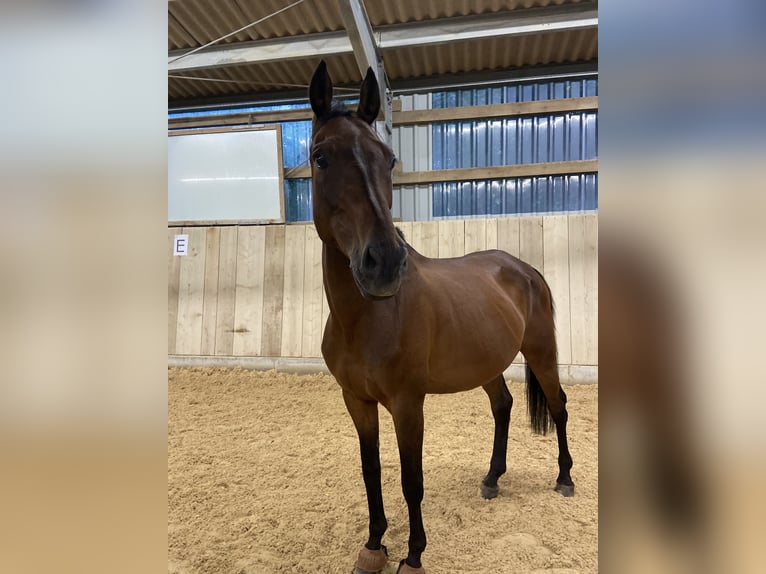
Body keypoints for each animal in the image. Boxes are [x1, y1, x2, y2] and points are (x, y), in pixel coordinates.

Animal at [308, 60, 574, 574]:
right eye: (320, 156)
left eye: (389, 159)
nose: (385, 263)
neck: (365, 319)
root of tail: (524, 269)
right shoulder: (357, 401)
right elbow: (371, 471)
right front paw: (374, 544)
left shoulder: (408, 404)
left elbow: (412, 481)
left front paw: (413, 555)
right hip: (488, 363)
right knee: (503, 405)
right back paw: (492, 479)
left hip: (541, 352)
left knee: (558, 406)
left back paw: (565, 479)